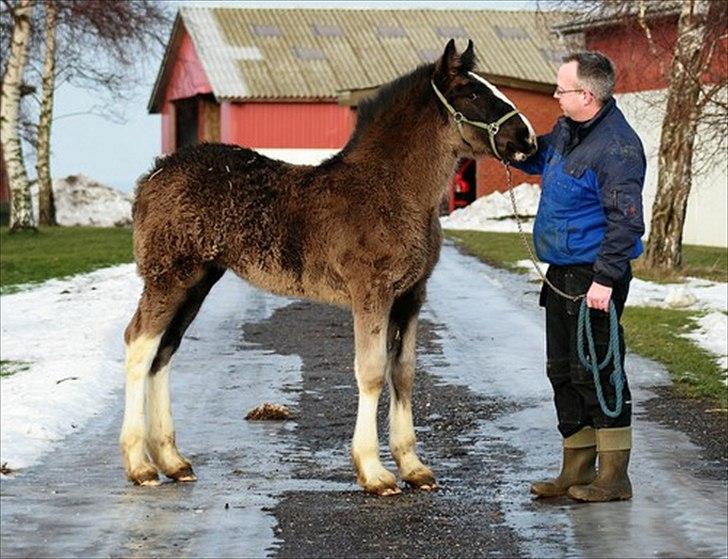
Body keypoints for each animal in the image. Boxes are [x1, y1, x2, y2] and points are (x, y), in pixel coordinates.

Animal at [122, 39, 536, 494]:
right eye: (471, 92)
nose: (528, 137)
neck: (391, 190)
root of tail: (154, 174)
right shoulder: (371, 291)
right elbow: (371, 372)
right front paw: (374, 471)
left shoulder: (412, 295)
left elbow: (404, 373)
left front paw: (413, 467)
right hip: (169, 277)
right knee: (139, 346)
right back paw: (140, 466)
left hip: (198, 280)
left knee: (165, 350)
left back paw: (173, 460)